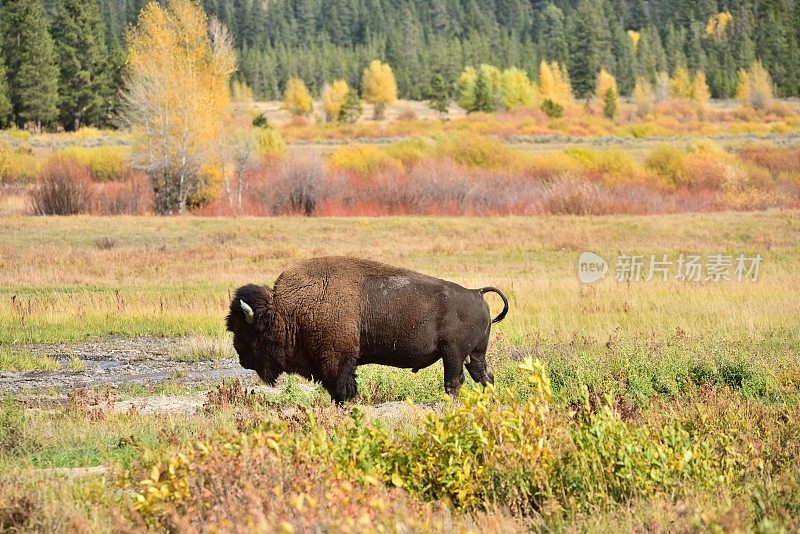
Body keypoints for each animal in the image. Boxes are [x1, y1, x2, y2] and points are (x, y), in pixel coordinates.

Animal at [228, 258, 510, 404]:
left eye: (246, 332)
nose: (242, 360)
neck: (287, 310)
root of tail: (476, 293)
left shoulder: (337, 360)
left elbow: (341, 388)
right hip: (475, 354)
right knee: (484, 377)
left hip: (453, 353)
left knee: (454, 382)